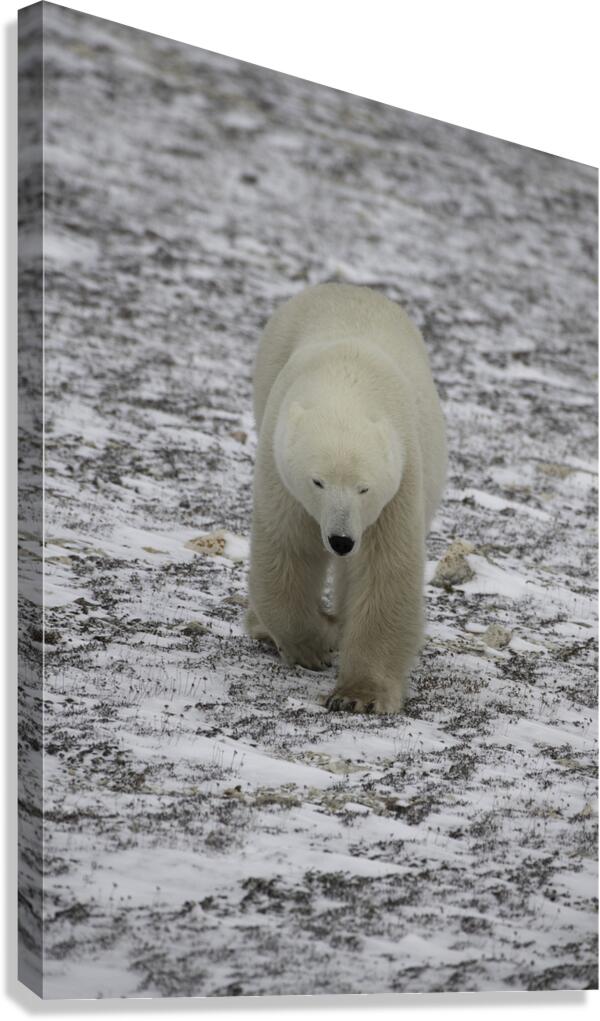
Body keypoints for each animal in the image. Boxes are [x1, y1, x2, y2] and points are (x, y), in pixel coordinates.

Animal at [245, 282, 446, 713]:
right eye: (318, 482)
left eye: (364, 488)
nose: (341, 540)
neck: (346, 381)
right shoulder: (280, 465)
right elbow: (288, 549)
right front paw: (313, 644)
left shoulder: (401, 474)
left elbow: (384, 569)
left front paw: (359, 695)